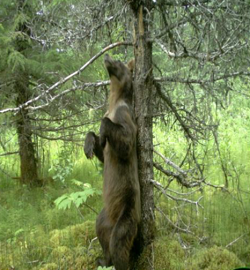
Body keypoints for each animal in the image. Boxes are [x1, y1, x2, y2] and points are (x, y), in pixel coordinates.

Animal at [83, 54, 140, 270]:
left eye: (119, 60)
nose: (107, 55)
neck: (114, 101)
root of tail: (114, 218)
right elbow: (101, 149)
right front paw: (89, 146)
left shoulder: (125, 116)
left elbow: (125, 141)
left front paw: (101, 129)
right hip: (103, 216)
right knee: (100, 231)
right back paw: (102, 259)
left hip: (128, 213)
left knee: (119, 243)